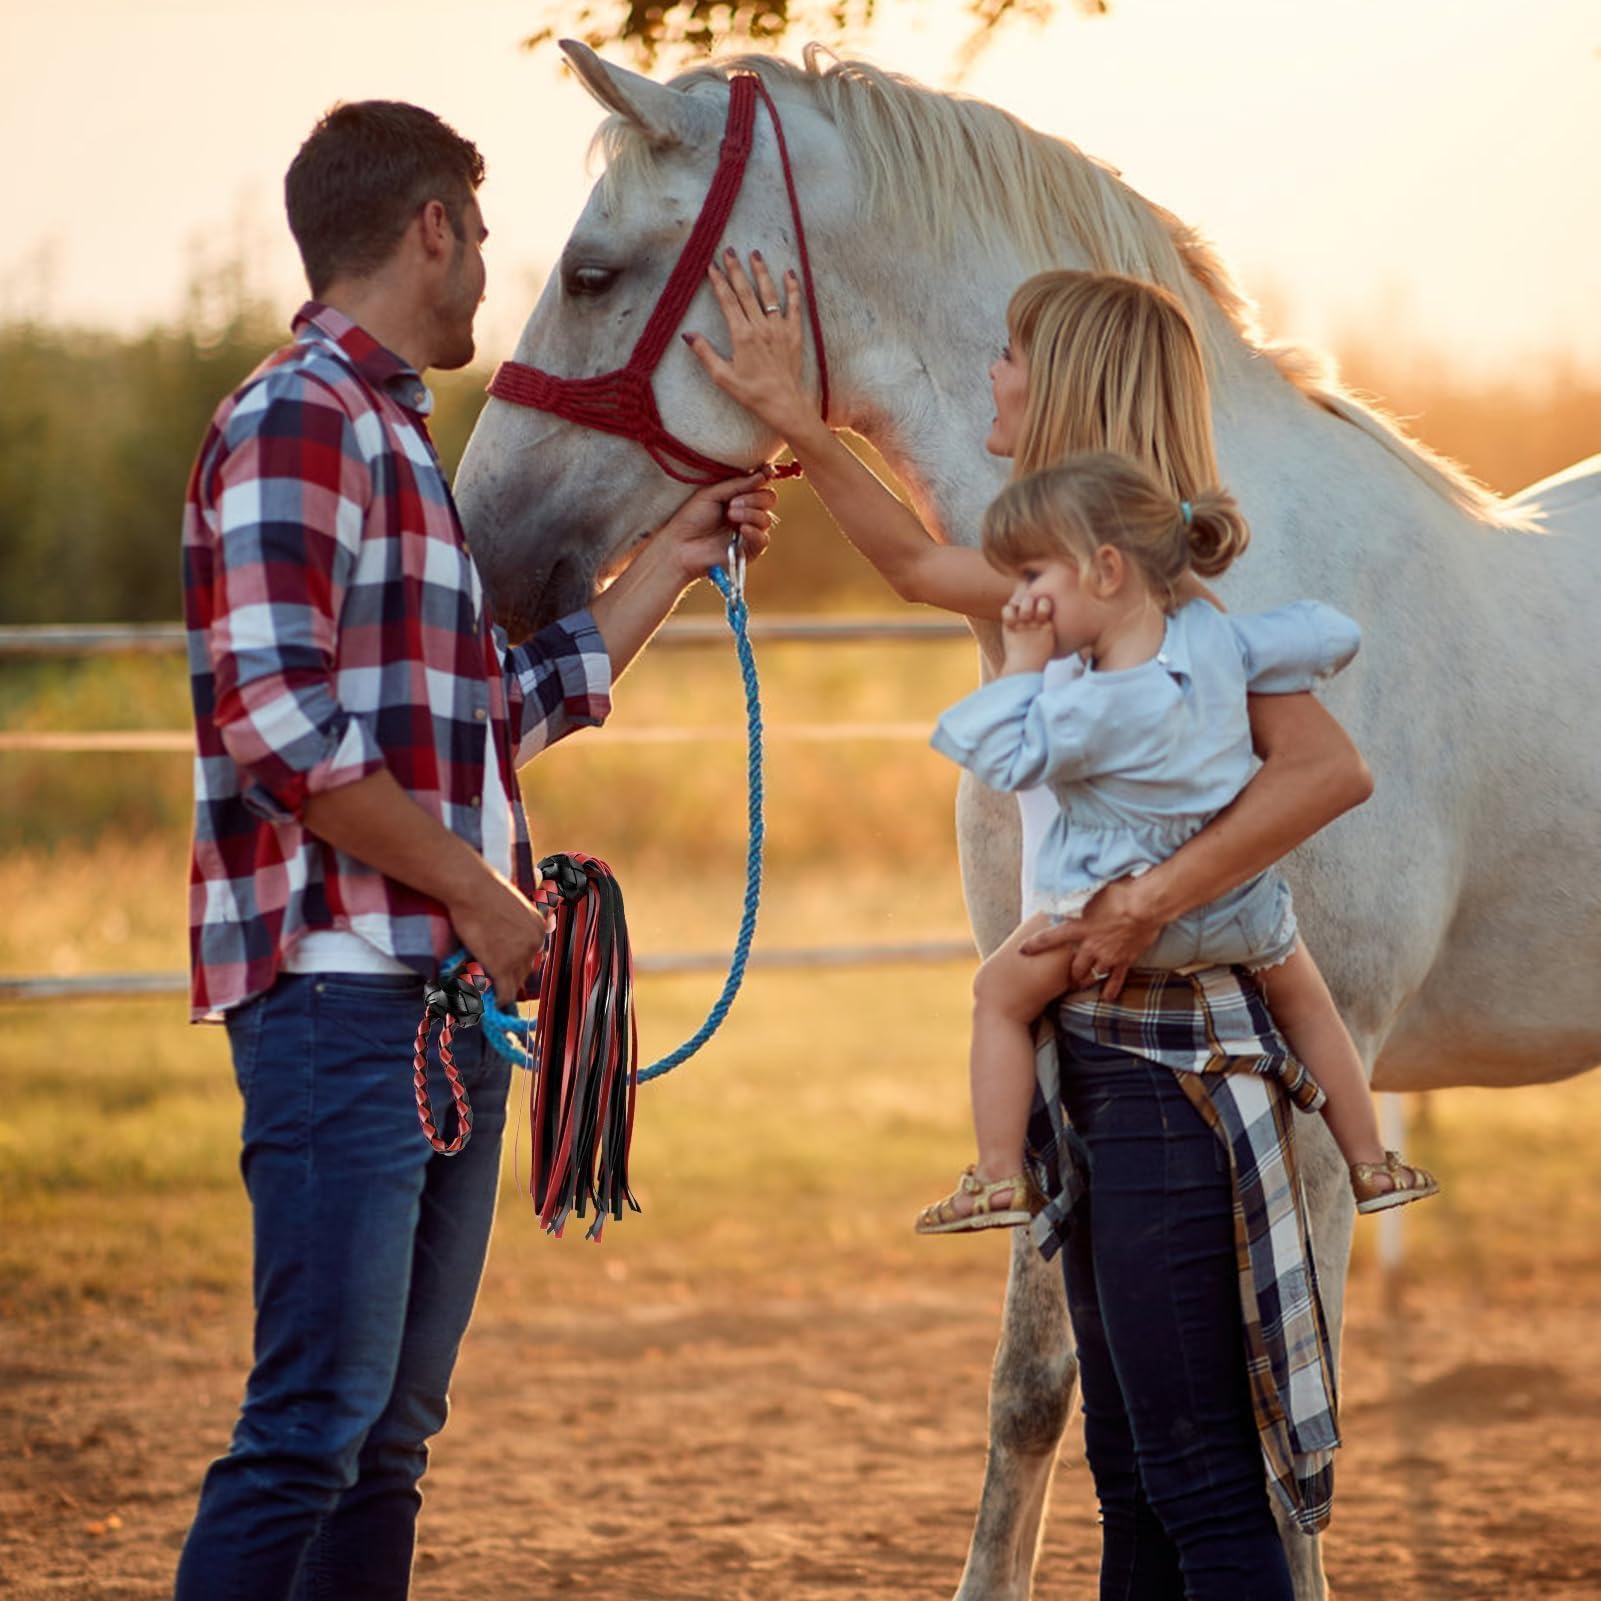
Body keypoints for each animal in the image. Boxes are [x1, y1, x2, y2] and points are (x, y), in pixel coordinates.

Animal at [453, 41, 1601, 1600]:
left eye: (588, 272)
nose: (482, 550)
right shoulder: (1054, 1045)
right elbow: (1036, 1390)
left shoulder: (1320, 1077)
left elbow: (1280, 1437)